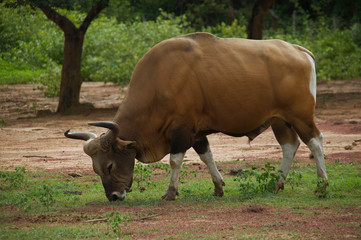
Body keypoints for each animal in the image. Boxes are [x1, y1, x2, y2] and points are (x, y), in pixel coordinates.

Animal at [64, 31, 326, 201]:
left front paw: (170, 192)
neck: (160, 80)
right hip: (279, 120)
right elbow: (207, 156)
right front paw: (218, 187)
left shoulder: (181, 129)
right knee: (290, 146)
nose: (114, 196)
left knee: (315, 142)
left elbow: (174, 160)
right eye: (96, 169)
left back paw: (321, 186)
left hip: (300, 116)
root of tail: (300, 51)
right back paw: (277, 183)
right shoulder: (198, 133)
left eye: (109, 166)